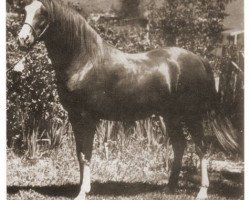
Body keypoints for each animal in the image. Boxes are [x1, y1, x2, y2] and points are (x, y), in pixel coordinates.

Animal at [16, 0, 239, 199]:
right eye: (25, 10)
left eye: (43, 13)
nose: (22, 39)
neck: (84, 61)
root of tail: (199, 59)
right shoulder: (75, 117)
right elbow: (80, 154)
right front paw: (81, 188)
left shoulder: (87, 117)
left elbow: (86, 154)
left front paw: (82, 192)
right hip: (171, 116)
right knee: (180, 145)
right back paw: (170, 188)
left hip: (192, 115)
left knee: (201, 148)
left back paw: (202, 191)